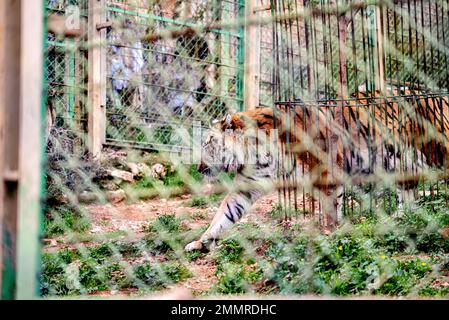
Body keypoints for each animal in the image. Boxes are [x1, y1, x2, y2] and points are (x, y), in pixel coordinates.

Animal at [183, 89, 448, 252]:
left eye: (207, 142)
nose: (198, 167)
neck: (254, 154)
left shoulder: (326, 172)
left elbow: (330, 208)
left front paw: (330, 235)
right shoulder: (248, 184)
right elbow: (224, 214)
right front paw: (201, 241)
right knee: (409, 194)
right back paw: (402, 219)